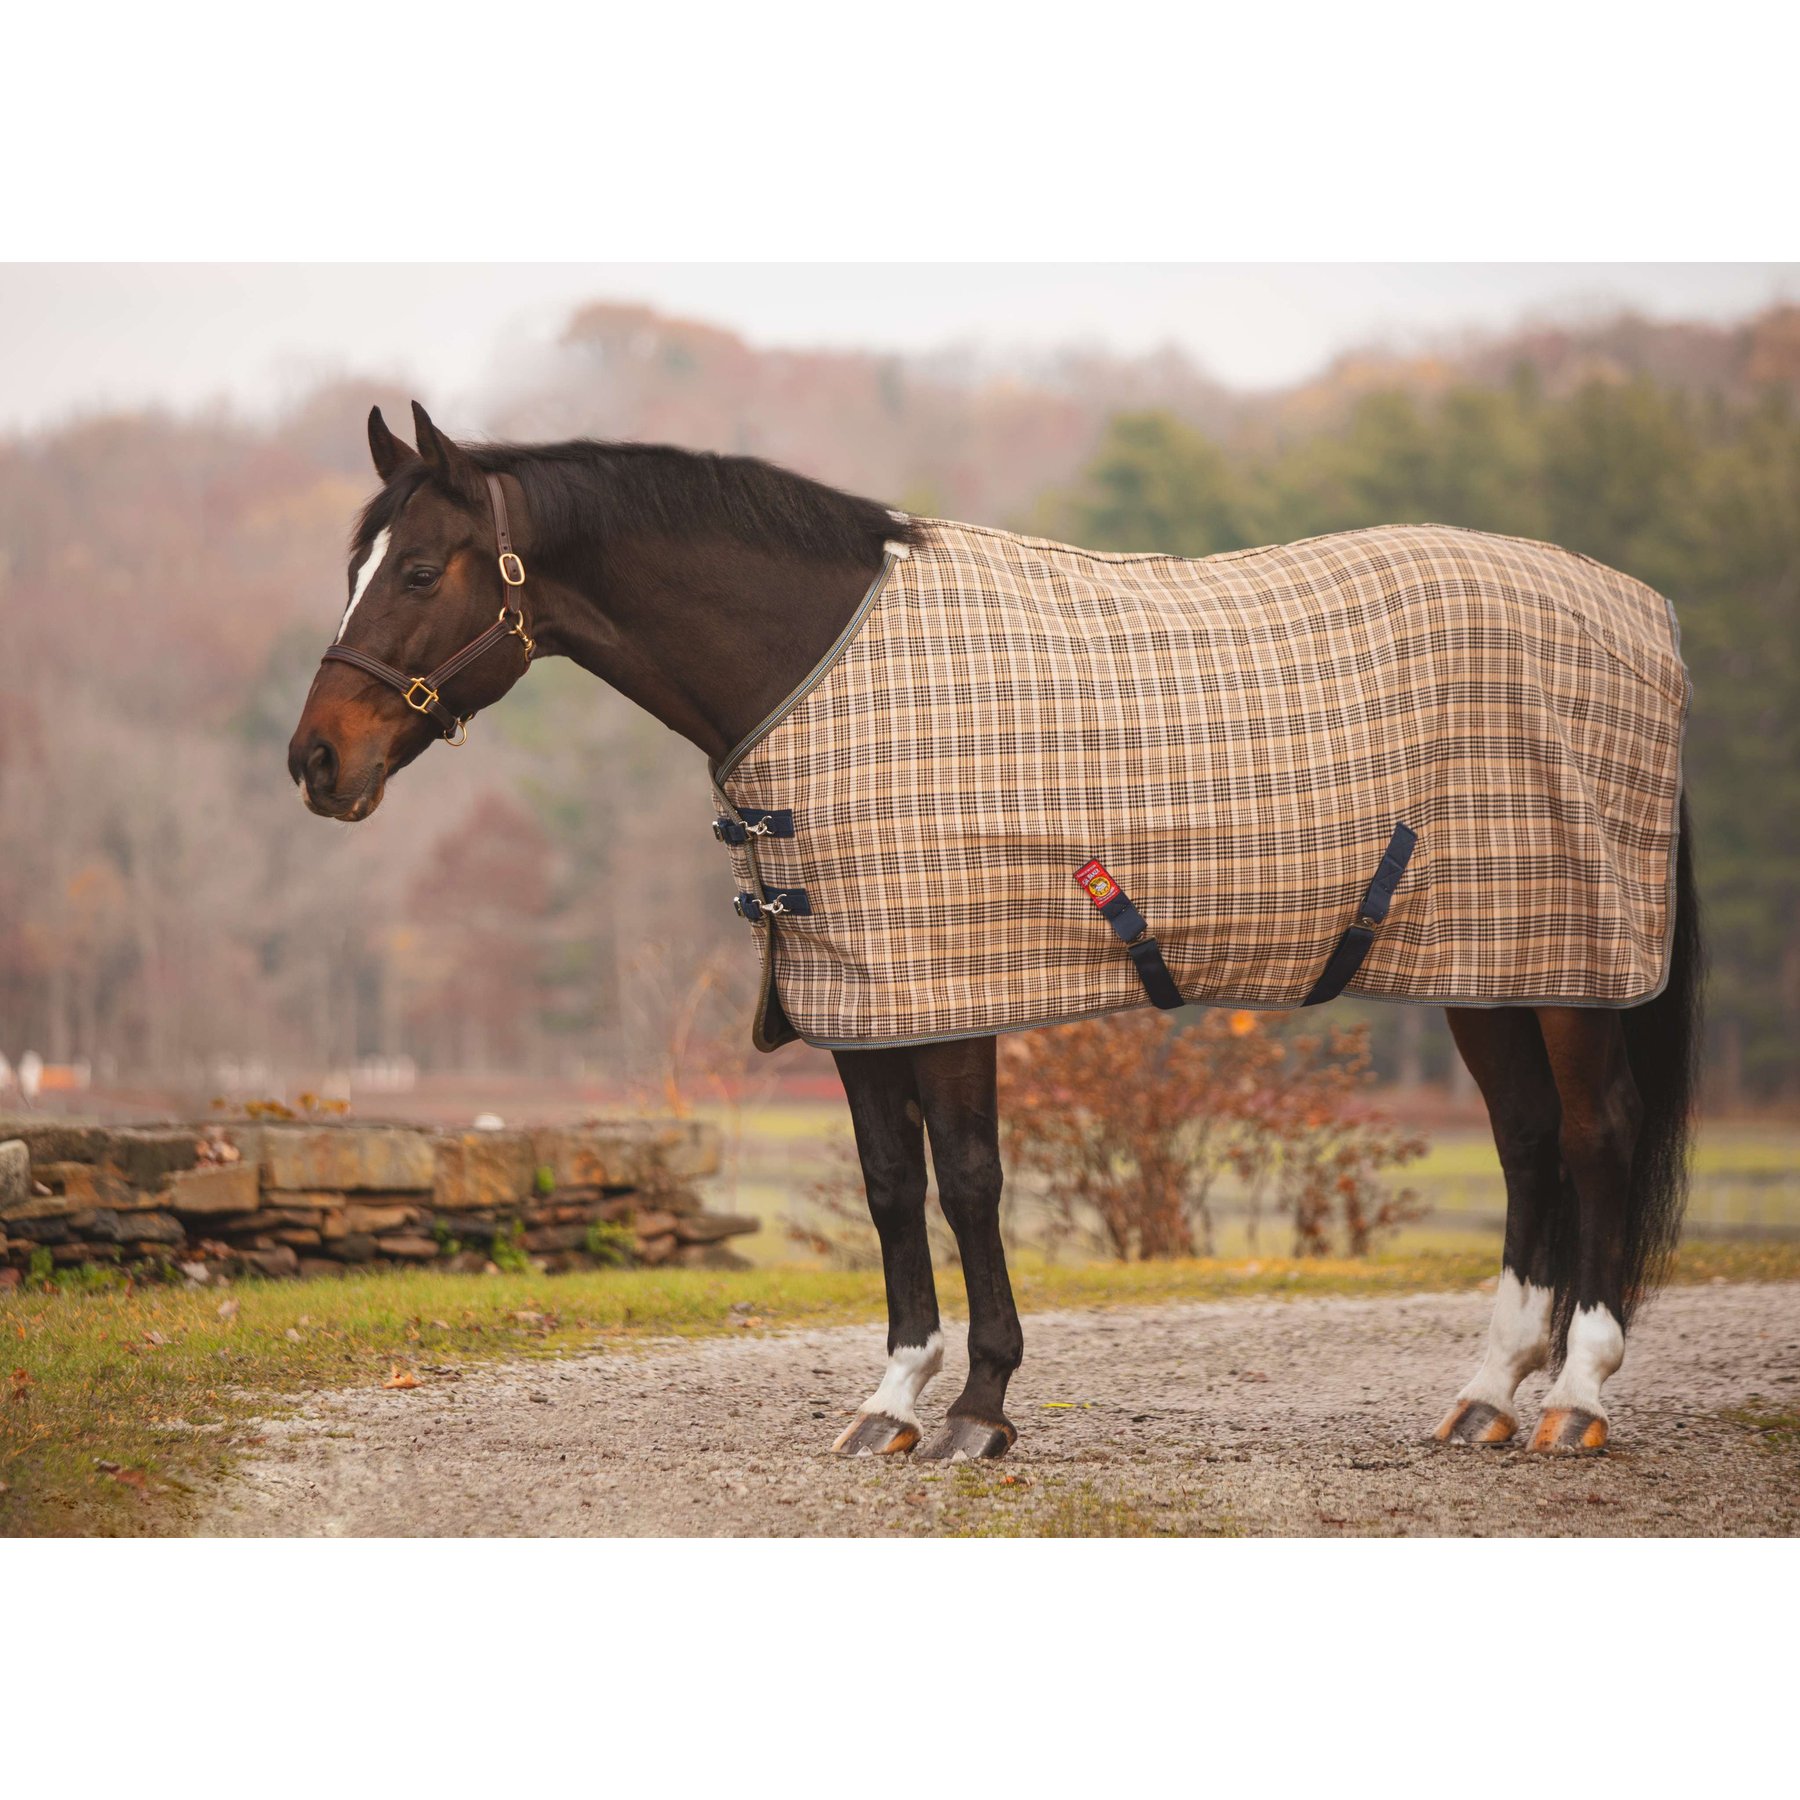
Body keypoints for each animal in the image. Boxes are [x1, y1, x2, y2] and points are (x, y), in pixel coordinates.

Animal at [289, 401, 1700, 1461]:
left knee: (1594, 1136)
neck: (816, 663)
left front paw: (981, 1406)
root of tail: (1643, 617)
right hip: (1492, 961)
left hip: (1574, 969)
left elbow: (967, 1179)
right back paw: (1487, 1394)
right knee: (1528, 1146)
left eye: (416, 569)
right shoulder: (861, 995)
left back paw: (1575, 1396)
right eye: (352, 569)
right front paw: (892, 1402)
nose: (315, 763)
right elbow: (889, 1186)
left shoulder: (951, 991)